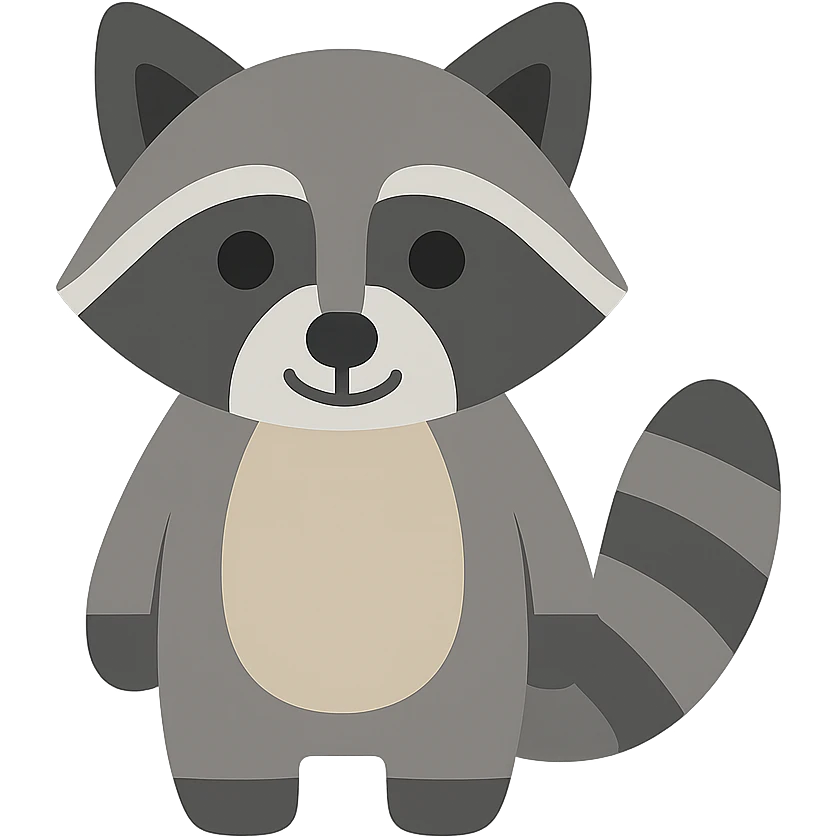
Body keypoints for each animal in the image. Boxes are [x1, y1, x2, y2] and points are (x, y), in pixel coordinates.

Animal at [62, 4, 782, 835]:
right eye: (242, 258)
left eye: (438, 257)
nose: (341, 339)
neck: (342, 442)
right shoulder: (189, 448)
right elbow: (140, 530)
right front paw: (117, 642)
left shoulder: (497, 451)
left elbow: (544, 549)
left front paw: (564, 635)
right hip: (219, 678)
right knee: (227, 735)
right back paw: (238, 802)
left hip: (466, 684)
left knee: (454, 739)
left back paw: (443, 803)